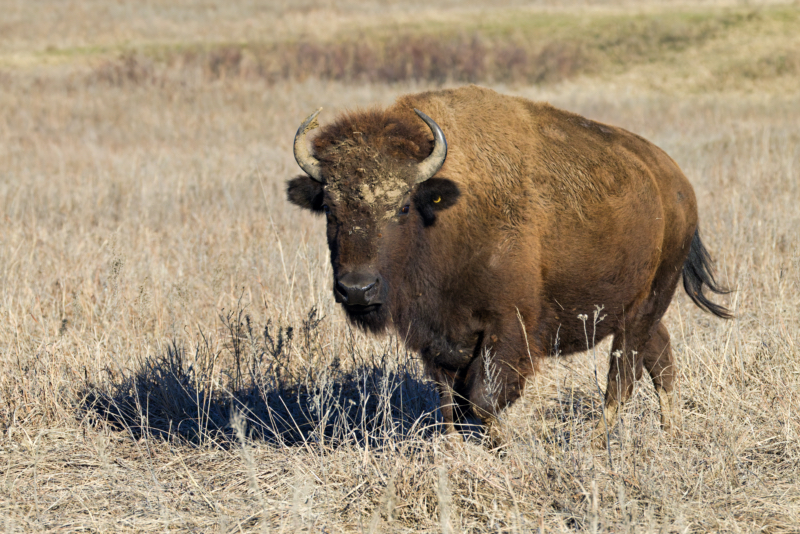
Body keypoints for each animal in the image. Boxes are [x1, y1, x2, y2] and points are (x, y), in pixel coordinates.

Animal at [288, 87, 732, 448]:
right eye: (330, 208)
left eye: (402, 206)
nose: (357, 289)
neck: (446, 212)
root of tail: (676, 184)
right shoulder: (438, 340)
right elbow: (449, 404)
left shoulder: (508, 328)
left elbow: (484, 400)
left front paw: (503, 449)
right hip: (636, 308)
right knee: (660, 358)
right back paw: (670, 432)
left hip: (648, 302)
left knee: (621, 377)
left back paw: (598, 444)